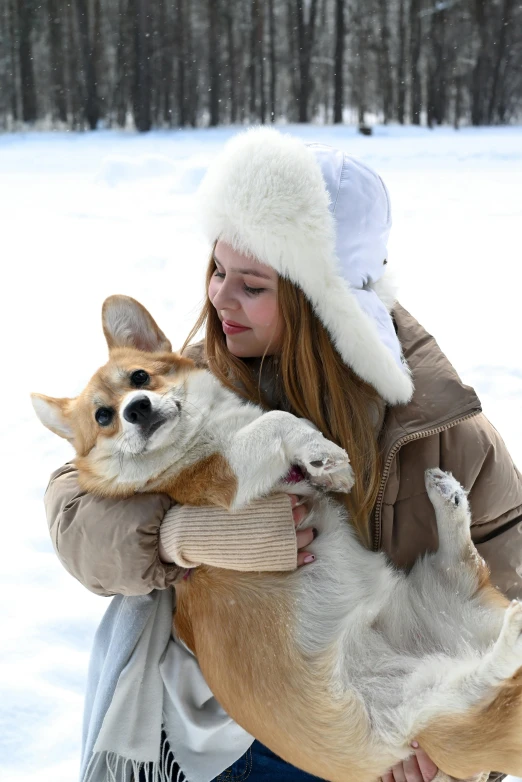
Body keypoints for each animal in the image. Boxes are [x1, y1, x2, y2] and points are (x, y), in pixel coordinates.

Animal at [31, 296, 520, 782]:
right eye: (103, 417)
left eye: (139, 377)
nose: (136, 409)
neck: (204, 435)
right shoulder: (227, 480)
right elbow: (280, 421)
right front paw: (325, 456)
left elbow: (283, 426)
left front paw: (326, 467)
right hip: (432, 717)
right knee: (481, 679)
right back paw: (510, 632)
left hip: (440, 594)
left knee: (465, 564)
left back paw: (448, 499)